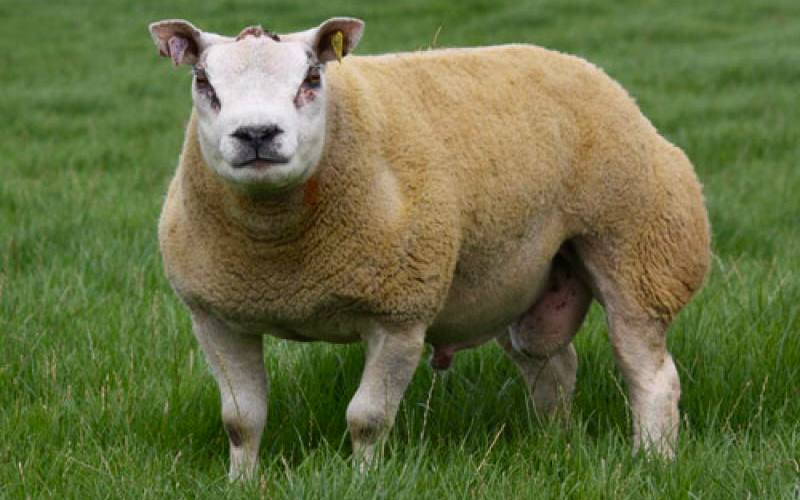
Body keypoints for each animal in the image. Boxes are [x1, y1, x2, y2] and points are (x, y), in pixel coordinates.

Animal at [148, 16, 711, 480]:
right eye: (203, 82)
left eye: (311, 80)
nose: (257, 134)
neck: (280, 252)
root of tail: (584, 68)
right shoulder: (216, 319)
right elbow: (241, 420)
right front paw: (241, 483)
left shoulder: (399, 315)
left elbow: (368, 418)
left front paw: (364, 482)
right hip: (518, 281)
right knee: (552, 366)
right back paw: (555, 442)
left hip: (638, 249)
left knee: (651, 374)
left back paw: (652, 459)